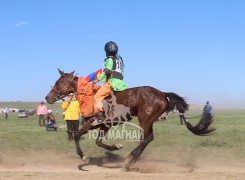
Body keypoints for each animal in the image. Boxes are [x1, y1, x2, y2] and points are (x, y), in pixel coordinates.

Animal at [45, 69, 214, 171]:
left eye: (58, 82)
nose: (48, 97)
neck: (88, 96)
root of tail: (162, 93)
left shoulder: (90, 123)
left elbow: (77, 136)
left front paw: (84, 157)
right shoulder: (104, 125)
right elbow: (98, 141)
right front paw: (115, 147)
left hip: (144, 119)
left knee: (145, 139)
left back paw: (127, 161)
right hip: (149, 121)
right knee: (149, 138)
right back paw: (130, 160)